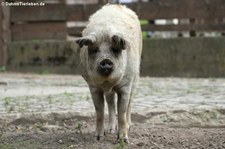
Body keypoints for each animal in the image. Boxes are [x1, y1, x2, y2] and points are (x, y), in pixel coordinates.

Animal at [75, 4, 142, 143]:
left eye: (115, 49)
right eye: (95, 50)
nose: (106, 60)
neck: (107, 83)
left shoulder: (125, 86)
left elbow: (122, 112)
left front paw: (123, 140)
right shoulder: (93, 87)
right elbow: (99, 111)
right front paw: (98, 138)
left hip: (135, 78)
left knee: (130, 103)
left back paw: (129, 126)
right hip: (109, 92)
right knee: (111, 103)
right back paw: (111, 130)